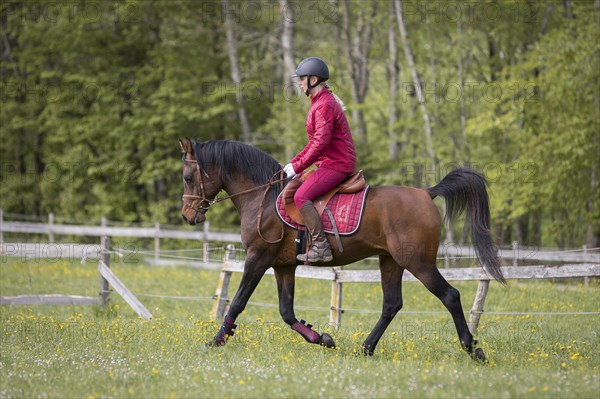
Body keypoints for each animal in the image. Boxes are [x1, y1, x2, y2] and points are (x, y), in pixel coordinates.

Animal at [179, 139, 506, 360]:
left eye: (187, 177)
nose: (187, 216)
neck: (264, 196)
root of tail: (427, 193)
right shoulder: (284, 266)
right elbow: (286, 312)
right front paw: (322, 338)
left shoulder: (257, 259)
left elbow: (237, 302)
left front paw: (216, 341)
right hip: (391, 261)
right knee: (392, 304)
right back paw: (366, 348)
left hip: (418, 262)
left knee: (450, 296)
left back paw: (472, 348)